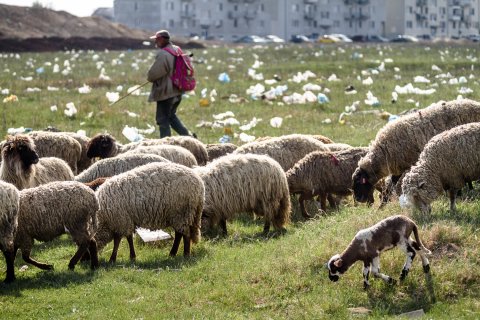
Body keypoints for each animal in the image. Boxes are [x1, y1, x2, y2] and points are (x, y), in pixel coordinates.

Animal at [350, 99, 480, 205]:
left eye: (359, 182)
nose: (359, 200)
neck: (383, 152)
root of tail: (475, 103)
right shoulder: (399, 167)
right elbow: (391, 185)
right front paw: (383, 204)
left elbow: (391, 186)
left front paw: (382, 204)